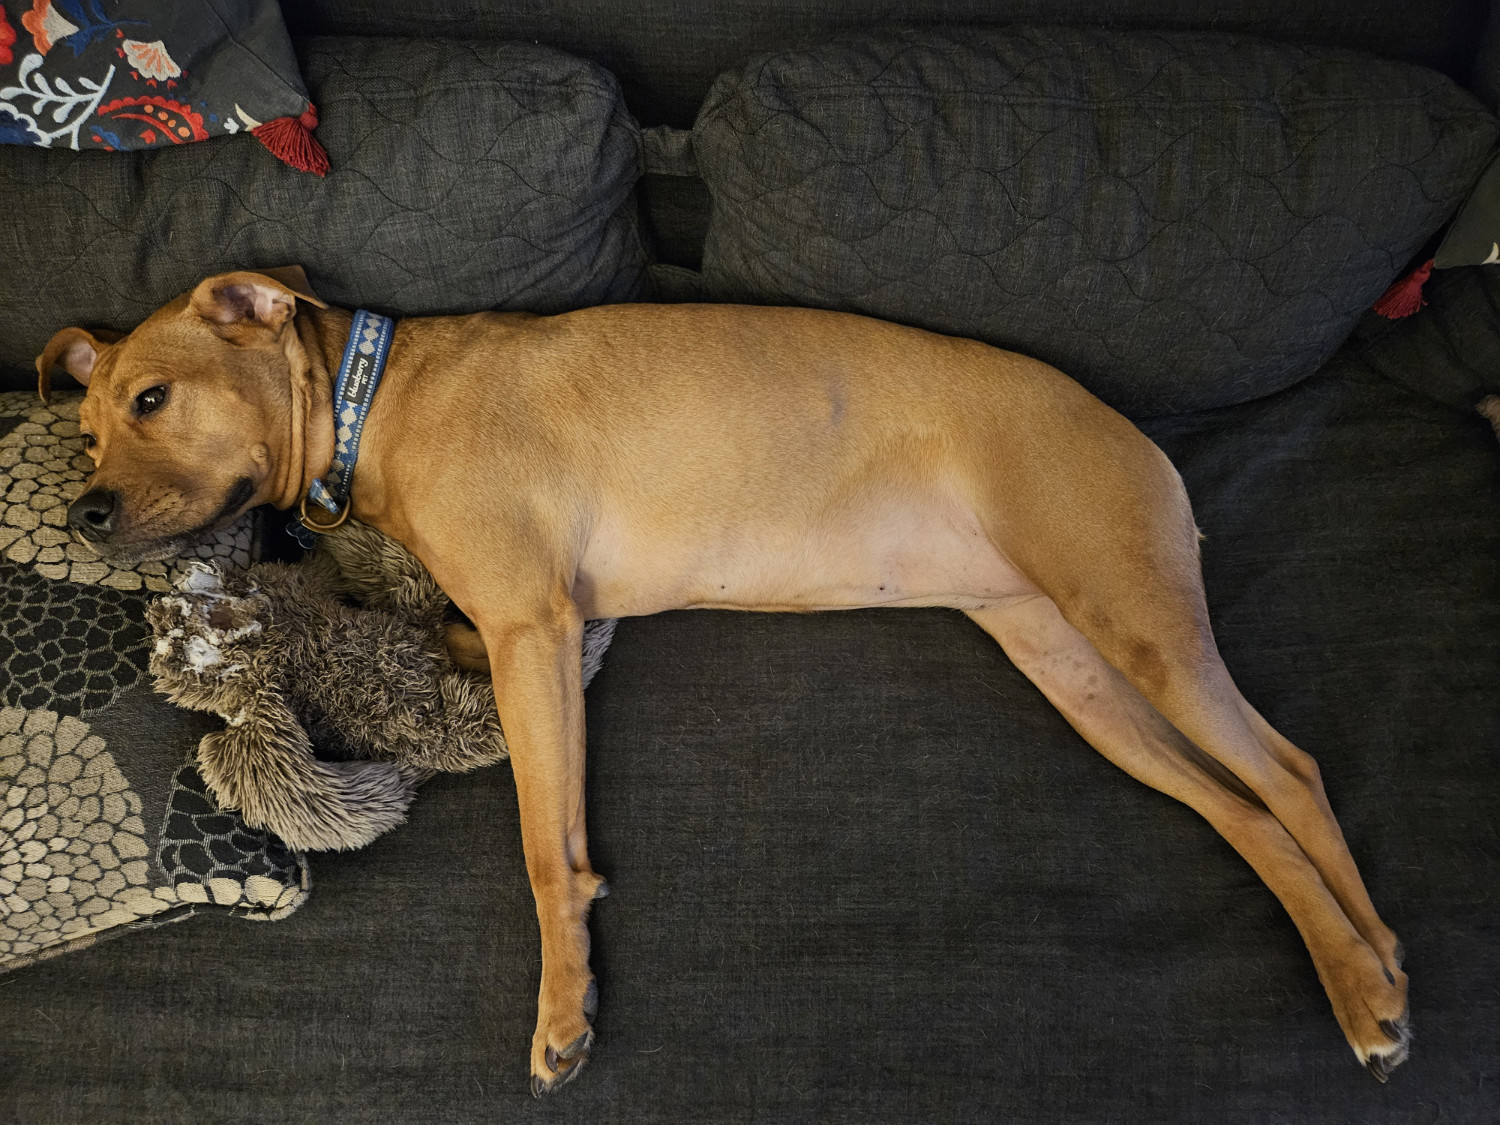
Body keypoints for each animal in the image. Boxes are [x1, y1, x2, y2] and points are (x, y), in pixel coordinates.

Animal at [38, 271, 1416, 1092]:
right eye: (89, 427)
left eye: (153, 396)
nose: (82, 511)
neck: (376, 397)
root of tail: (1127, 424)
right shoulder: (532, 625)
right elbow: (450, 647)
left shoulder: (536, 630)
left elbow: (545, 849)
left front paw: (565, 1010)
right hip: (1071, 664)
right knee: (1241, 809)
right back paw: (1364, 966)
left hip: (1133, 625)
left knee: (1288, 769)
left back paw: (1375, 978)